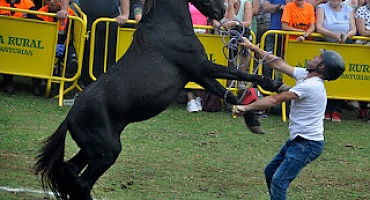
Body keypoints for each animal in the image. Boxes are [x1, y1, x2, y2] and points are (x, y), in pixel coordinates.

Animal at [36, 0, 282, 199]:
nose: (221, 11)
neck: (166, 28)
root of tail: (69, 117)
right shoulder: (201, 68)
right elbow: (240, 76)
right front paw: (273, 85)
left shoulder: (199, 75)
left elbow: (228, 93)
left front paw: (253, 120)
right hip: (106, 152)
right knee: (81, 183)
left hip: (92, 151)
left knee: (71, 172)